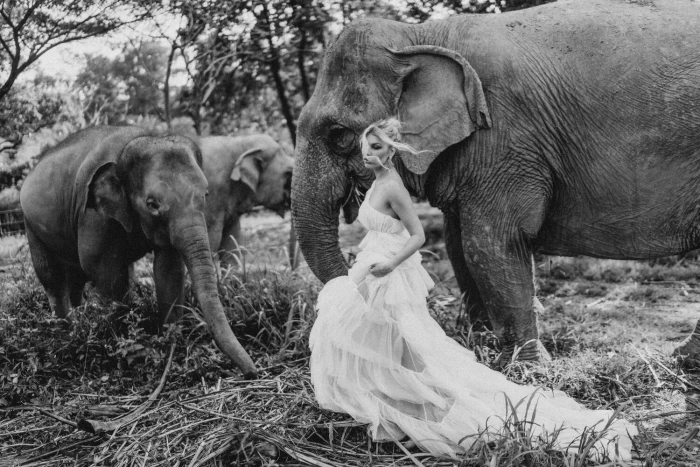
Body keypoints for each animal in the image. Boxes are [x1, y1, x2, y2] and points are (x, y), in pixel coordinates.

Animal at [20, 126, 258, 378]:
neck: (137, 140)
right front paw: (118, 343)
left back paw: (80, 323)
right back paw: (66, 331)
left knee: (75, 278)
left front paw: (170, 340)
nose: (252, 372)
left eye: (205, 194)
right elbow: (104, 270)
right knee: (52, 277)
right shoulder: (93, 215)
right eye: (152, 204)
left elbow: (168, 268)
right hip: (31, 225)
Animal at [292, 0, 700, 366]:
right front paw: (480, 351)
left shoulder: (504, 138)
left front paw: (524, 370)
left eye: (339, 135)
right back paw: (685, 360)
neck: (419, 36)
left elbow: (489, 243)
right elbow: (457, 244)